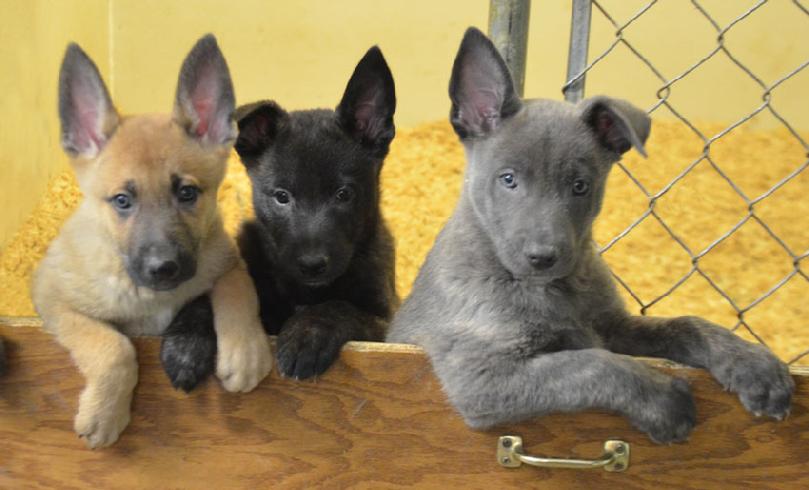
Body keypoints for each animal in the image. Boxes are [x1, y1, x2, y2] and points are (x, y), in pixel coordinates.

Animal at [234, 46, 398, 378]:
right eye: (282, 197)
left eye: (344, 194)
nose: (311, 265)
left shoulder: (385, 323)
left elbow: (339, 307)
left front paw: (308, 333)